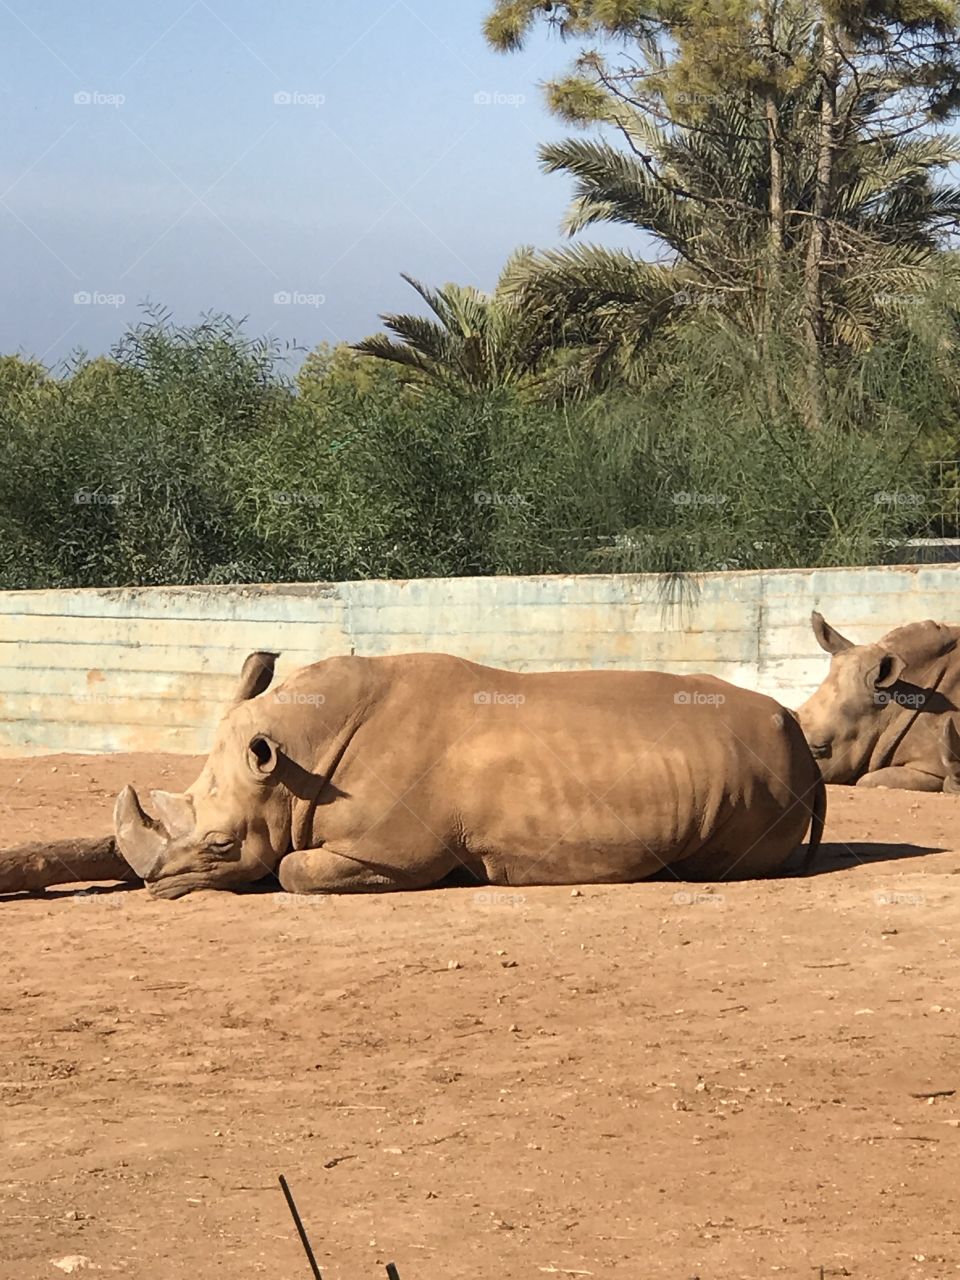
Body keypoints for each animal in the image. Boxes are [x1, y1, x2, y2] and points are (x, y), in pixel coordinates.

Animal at [114, 651, 825, 900]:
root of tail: (803, 742)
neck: (297, 766)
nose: (152, 886)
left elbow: (293, 870)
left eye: (221, 845)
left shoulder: (394, 854)